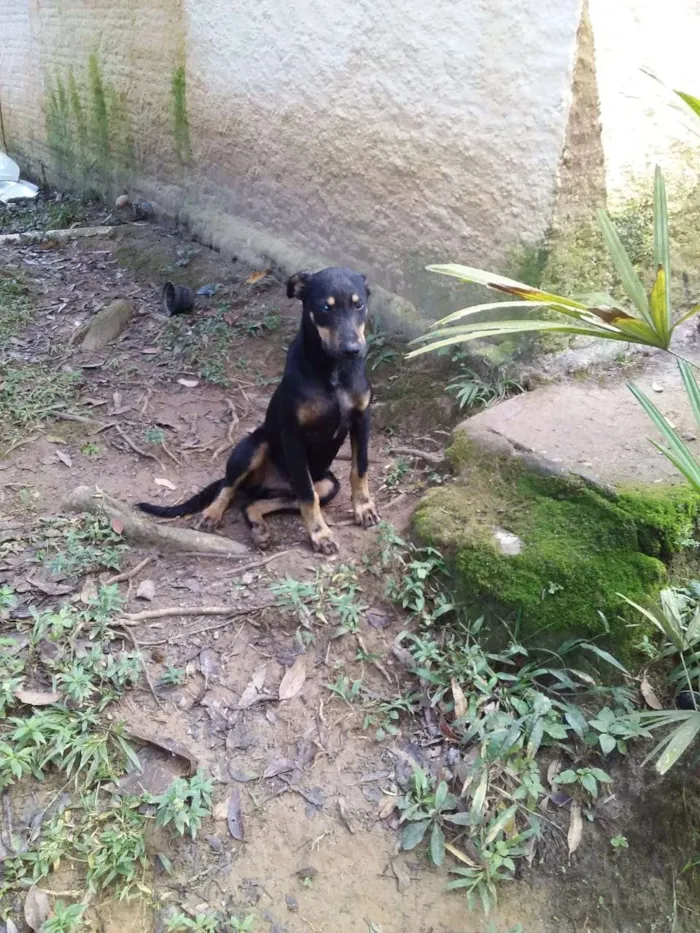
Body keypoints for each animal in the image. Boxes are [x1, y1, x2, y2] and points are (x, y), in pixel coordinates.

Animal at [136, 264, 378, 552]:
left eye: (359, 304)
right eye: (325, 307)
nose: (352, 350)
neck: (334, 371)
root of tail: (265, 485)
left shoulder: (362, 419)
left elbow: (359, 469)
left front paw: (364, 508)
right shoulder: (293, 436)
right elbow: (308, 496)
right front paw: (320, 534)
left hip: (327, 484)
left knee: (256, 502)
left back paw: (259, 528)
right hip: (252, 447)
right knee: (229, 487)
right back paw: (212, 514)